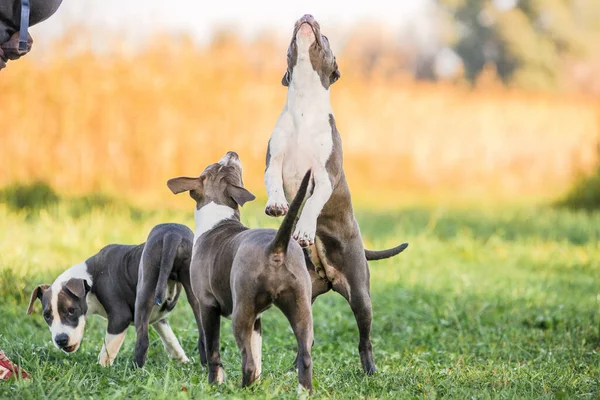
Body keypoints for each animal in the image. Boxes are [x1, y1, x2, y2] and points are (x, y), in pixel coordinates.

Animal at [27, 223, 202, 368]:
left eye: (71, 311)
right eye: (47, 316)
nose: (61, 340)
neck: (89, 281)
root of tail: (172, 235)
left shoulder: (120, 318)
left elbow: (107, 348)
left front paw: (100, 370)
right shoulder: (156, 316)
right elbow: (169, 336)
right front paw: (183, 360)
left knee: (143, 342)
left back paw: (135, 371)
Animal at [165, 152, 314, 394]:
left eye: (216, 165)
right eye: (226, 166)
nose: (232, 153)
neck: (219, 215)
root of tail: (274, 247)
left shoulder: (207, 305)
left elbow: (213, 350)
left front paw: (214, 384)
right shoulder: (257, 319)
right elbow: (258, 353)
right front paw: (258, 388)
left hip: (240, 314)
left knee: (248, 362)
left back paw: (241, 389)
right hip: (301, 309)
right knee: (305, 356)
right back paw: (302, 393)